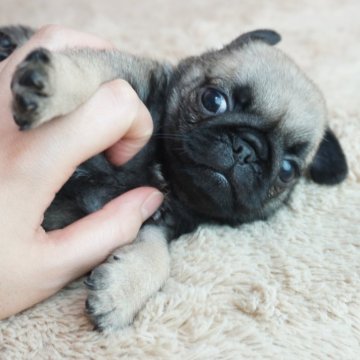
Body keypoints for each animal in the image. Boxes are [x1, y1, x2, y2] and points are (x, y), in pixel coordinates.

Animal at [0, 25, 348, 330]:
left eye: (287, 170)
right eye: (213, 100)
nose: (246, 149)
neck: (164, 173)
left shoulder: (161, 217)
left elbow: (158, 254)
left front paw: (122, 292)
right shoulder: (128, 81)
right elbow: (89, 71)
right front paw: (52, 81)